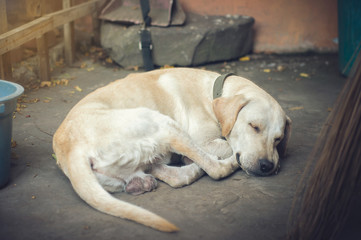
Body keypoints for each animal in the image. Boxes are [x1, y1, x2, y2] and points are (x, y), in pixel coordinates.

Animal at [52, 67, 290, 232]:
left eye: (278, 138)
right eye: (254, 126)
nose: (266, 166)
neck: (213, 93)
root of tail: (71, 148)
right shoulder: (204, 141)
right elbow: (227, 147)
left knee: (174, 176)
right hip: (163, 124)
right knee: (215, 168)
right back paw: (215, 164)